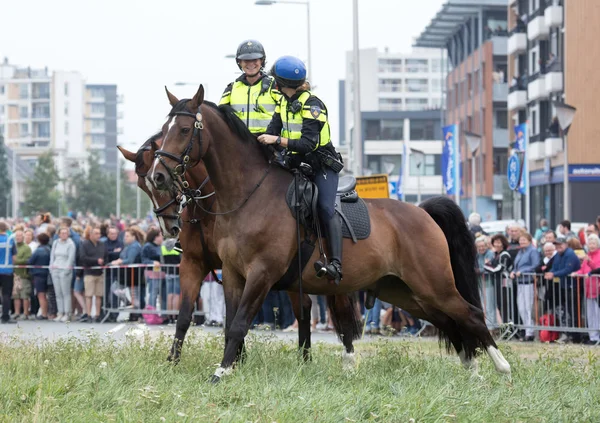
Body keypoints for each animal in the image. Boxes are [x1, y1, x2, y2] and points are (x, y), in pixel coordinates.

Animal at [118, 133, 360, 364]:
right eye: (143, 186)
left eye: (160, 182)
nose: (169, 228)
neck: (210, 207)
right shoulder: (195, 263)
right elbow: (187, 315)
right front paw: (175, 361)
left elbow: (233, 317)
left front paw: (235, 359)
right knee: (305, 306)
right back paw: (306, 359)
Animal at [151, 85, 510, 380]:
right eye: (162, 131)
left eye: (184, 129)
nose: (158, 175)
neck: (249, 194)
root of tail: (422, 211)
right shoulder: (233, 274)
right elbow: (229, 326)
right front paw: (229, 366)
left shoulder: (262, 274)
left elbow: (239, 323)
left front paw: (222, 372)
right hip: (405, 291)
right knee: (448, 321)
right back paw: (471, 368)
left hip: (434, 284)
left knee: (471, 314)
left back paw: (501, 368)